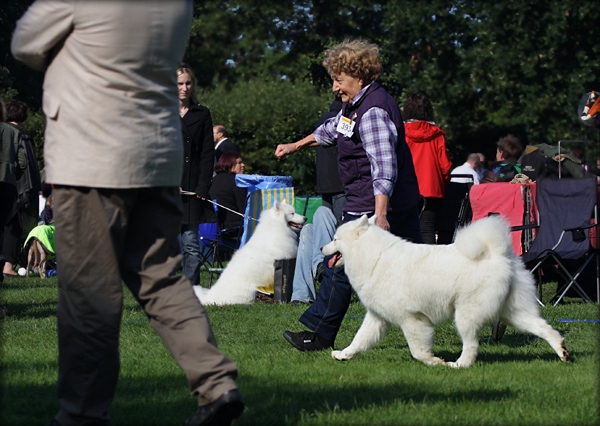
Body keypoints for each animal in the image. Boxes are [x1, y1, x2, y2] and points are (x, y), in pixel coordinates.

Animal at [322, 215, 568, 368]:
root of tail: (498, 253)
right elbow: (359, 340)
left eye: (335, 239)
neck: (374, 256)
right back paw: (562, 351)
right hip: (514, 312)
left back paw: (459, 364)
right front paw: (343, 354)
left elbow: (417, 350)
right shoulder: (377, 317)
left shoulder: (411, 319)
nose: (322, 248)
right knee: (543, 327)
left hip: (465, 315)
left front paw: (433, 362)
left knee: (471, 344)